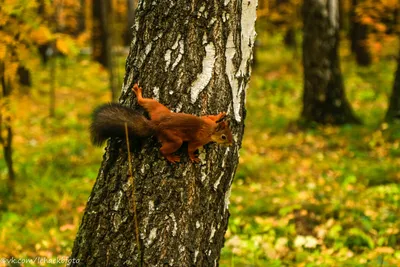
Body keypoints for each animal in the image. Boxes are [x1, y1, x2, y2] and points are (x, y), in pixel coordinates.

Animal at [90, 84, 233, 163]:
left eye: (230, 133)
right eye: (223, 137)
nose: (231, 144)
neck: (211, 129)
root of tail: (156, 124)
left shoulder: (208, 119)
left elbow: (210, 116)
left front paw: (220, 115)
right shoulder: (198, 140)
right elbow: (190, 148)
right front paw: (193, 157)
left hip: (159, 109)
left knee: (144, 102)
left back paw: (138, 93)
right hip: (173, 138)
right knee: (163, 149)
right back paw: (170, 157)